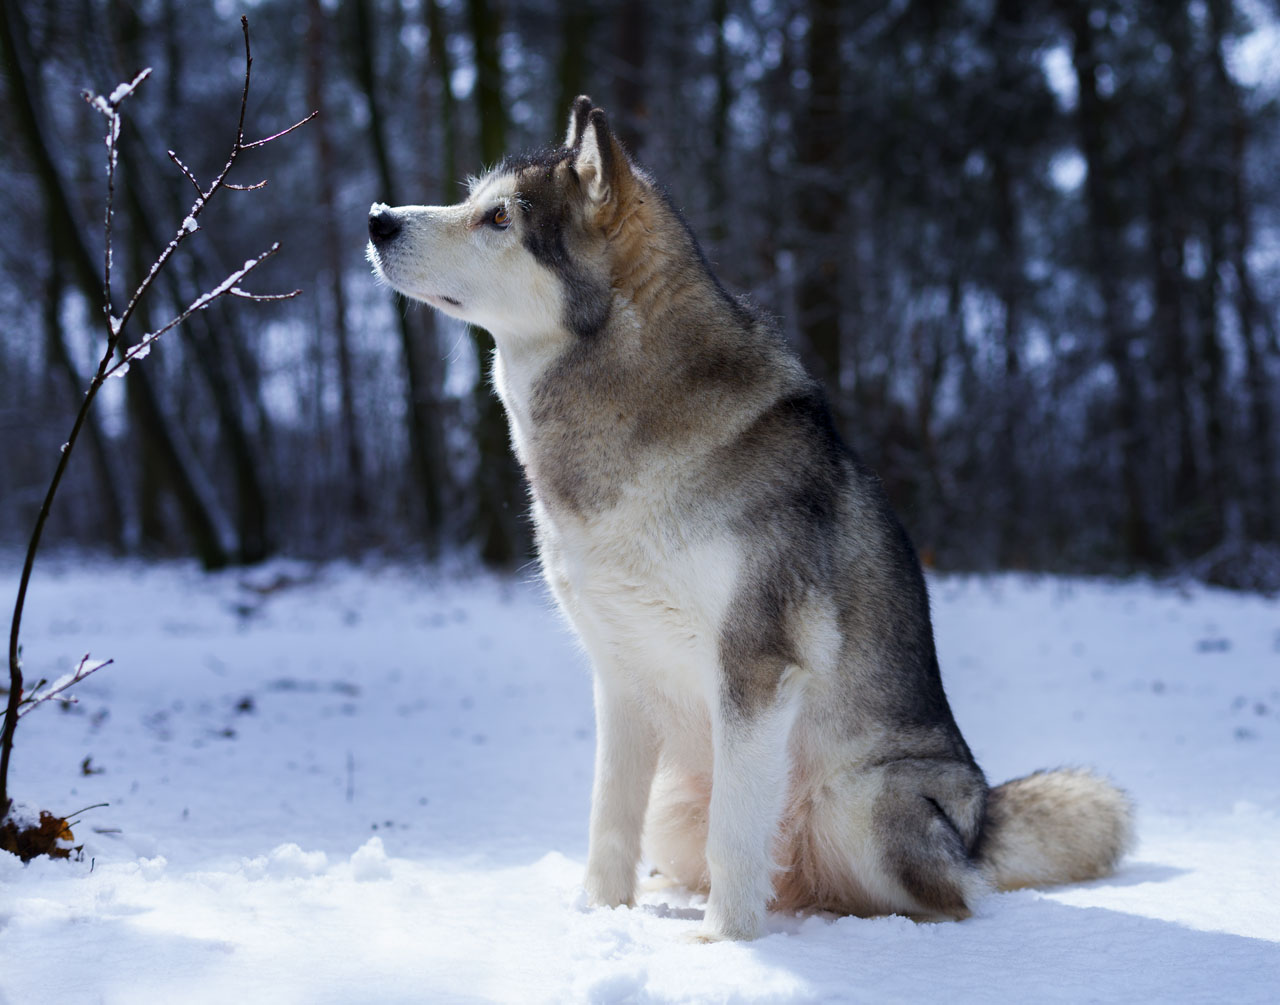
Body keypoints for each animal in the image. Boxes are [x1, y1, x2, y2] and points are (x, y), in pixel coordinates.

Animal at [366, 97, 1136, 937]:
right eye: (472, 200)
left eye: (499, 217)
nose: (377, 218)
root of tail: (981, 820)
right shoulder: (620, 676)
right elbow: (608, 820)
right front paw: (600, 916)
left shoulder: (756, 662)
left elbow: (735, 831)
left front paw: (725, 944)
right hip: (680, 803)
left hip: (863, 801)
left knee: (950, 897)